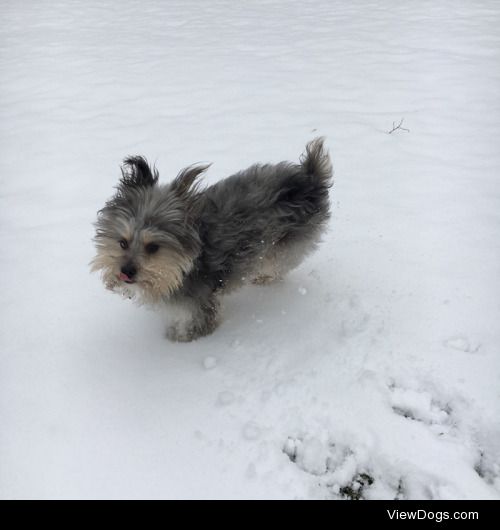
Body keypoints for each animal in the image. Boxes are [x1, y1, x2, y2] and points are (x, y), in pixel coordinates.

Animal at [91, 136, 332, 340]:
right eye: (122, 242)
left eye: (153, 247)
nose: (125, 271)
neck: (187, 264)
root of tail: (309, 177)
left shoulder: (199, 303)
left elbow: (196, 326)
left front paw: (177, 340)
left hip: (286, 245)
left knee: (278, 264)